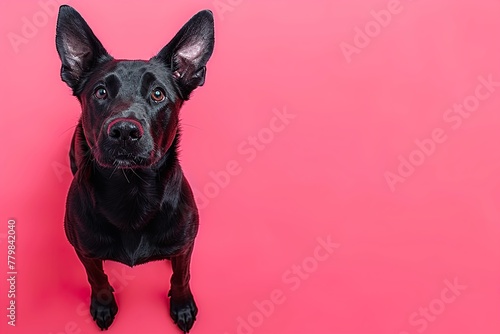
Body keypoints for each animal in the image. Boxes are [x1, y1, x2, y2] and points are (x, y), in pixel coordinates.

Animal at [55, 4, 215, 332]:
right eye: (101, 92)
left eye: (158, 94)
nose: (125, 131)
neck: (131, 189)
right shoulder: (83, 249)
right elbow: (96, 277)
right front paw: (103, 305)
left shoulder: (185, 245)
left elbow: (182, 275)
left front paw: (182, 306)